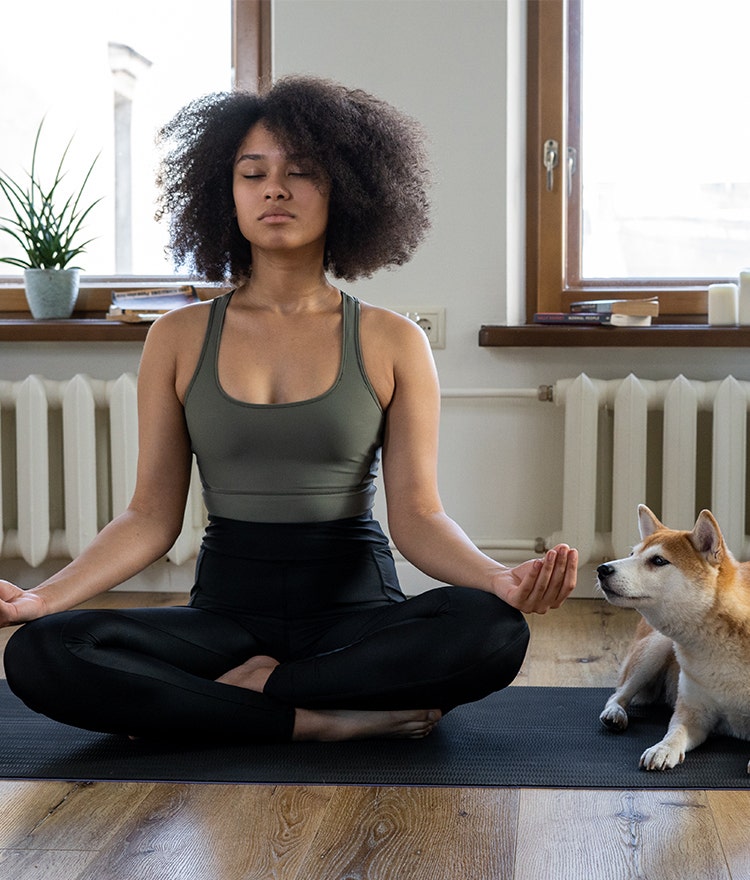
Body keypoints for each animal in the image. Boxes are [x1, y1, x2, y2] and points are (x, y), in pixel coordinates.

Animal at [596, 506, 748, 772]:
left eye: (658, 560)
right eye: (632, 554)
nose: (602, 569)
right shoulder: (693, 713)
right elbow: (674, 732)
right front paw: (662, 749)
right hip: (656, 647)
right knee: (618, 694)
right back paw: (615, 714)